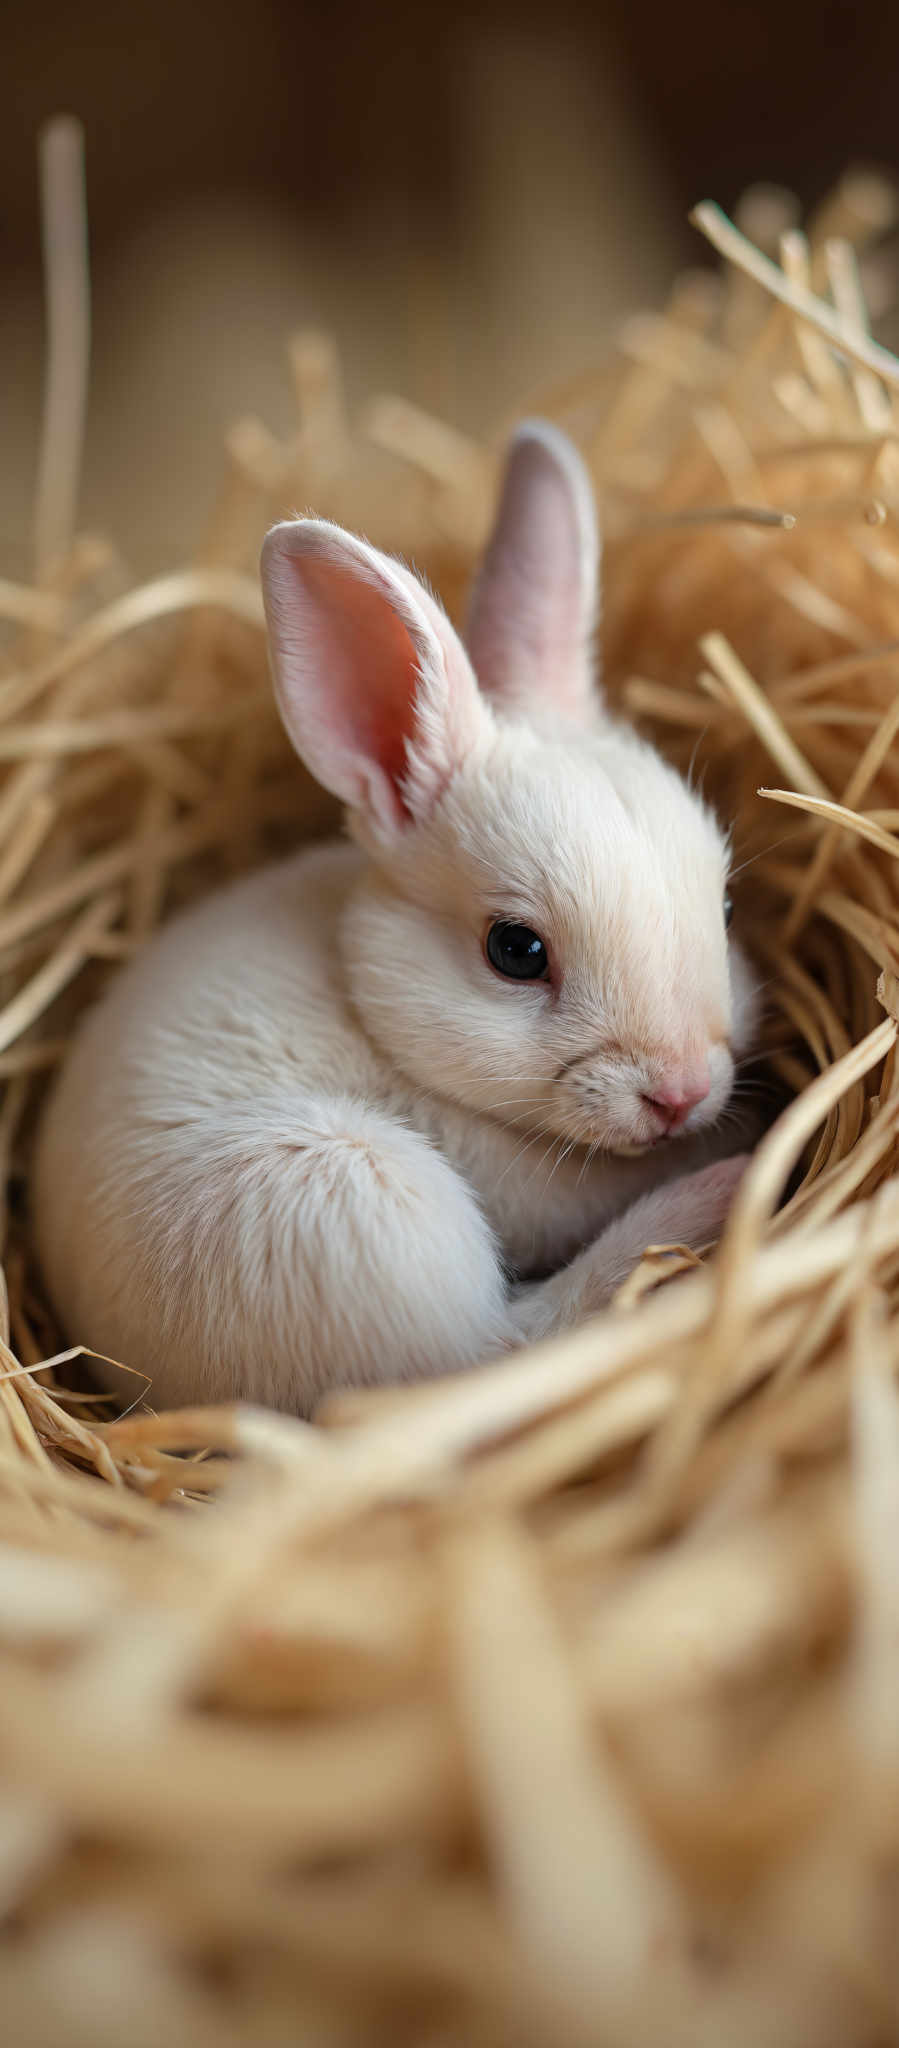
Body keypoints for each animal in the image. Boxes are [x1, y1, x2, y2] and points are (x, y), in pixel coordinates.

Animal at [31, 415, 761, 1409]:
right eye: (515, 949)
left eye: (723, 906)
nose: (681, 1093)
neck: (367, 1003)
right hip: (357, 1197)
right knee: (501, 1351)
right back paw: (719, 1189)